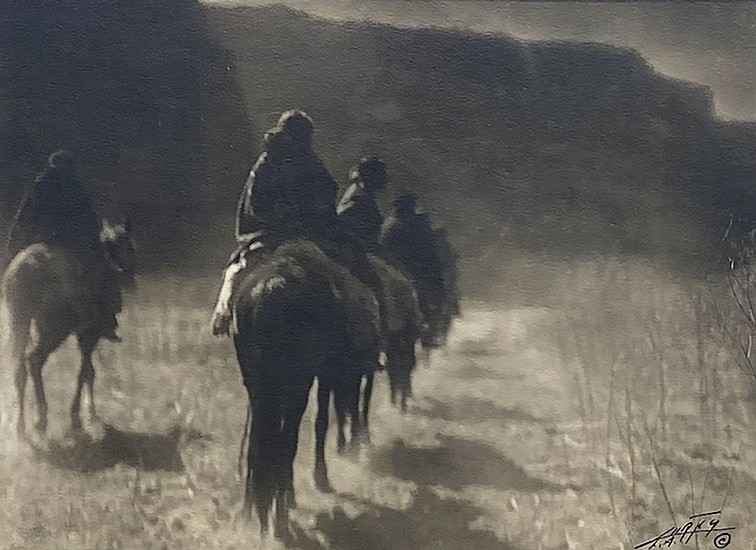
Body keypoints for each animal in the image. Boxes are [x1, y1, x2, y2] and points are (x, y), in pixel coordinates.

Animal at [2, 218, 136, 438]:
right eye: (130, 247)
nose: (131, 280)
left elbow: (88, 372)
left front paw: (89, 415)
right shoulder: (89, 334)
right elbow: (85, 372)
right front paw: (79, 418)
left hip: (21, 322)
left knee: (20, 368)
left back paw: (21, 426)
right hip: (55, 330)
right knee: (35, 360)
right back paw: (41, 420)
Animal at [232, 240, 384, 540]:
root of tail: (271, 288)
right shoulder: (329, 375)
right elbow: (324, 420)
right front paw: (321, 476)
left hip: (260, 388)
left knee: (261, 444)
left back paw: (257, 510)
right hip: (296, 385)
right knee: (285, 441)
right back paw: (279, 518)